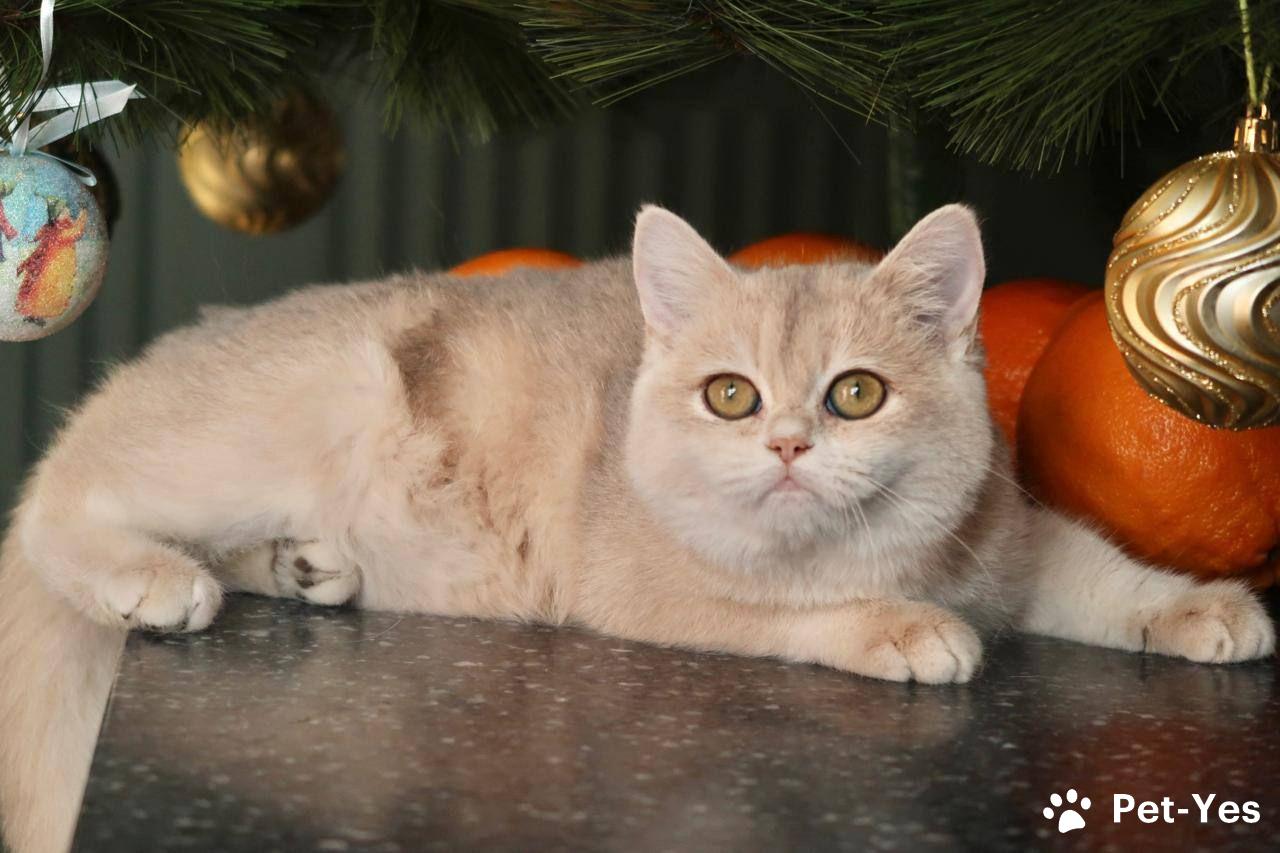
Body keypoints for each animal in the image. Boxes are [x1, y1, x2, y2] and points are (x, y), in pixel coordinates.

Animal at [0, 204, 1273, 853]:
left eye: (856, 392)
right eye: (731, 395)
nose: (788, 446)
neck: (879, 545)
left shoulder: (1003, 542)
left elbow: (1102, 573)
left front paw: (1197, 608)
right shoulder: (640, 586)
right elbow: (786, 606)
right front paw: (895, 626)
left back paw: (302, 561)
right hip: (307, 403)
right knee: (57, 500)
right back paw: (153, 574)